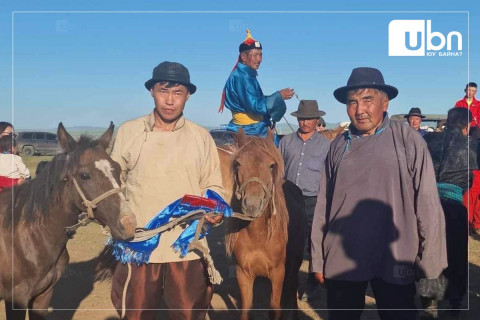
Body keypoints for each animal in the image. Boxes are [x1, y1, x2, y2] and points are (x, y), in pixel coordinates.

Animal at [0, 122, 137, 320]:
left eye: (118, 169)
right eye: (84, 175)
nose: (128, 225)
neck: (28, 237)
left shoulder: (43, 295)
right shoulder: (16, 299)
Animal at [219, 129, 306, 320]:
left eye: (271, 165)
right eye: (237, 163)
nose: (252, 205)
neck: (257, 236)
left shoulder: (277, 273)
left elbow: (274, 309)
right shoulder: (243, 273)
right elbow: (246, 309)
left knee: (293, 285)